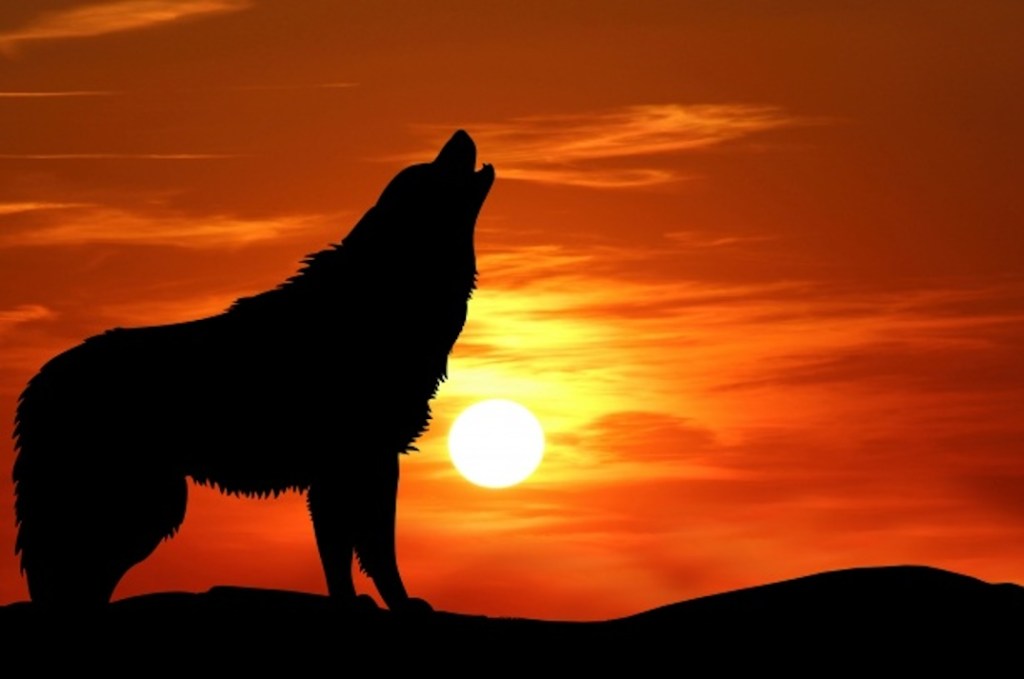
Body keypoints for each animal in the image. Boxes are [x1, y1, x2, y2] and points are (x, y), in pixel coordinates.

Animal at [12, 130, 494, 612]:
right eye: (429, 170)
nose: (461, 134)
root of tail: (37, 383)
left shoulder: (343, 469)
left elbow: (340, 553)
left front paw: (355, 601)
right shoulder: (359, 461)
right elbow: (375, 549)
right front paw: (396, 603)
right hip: (147, 508)